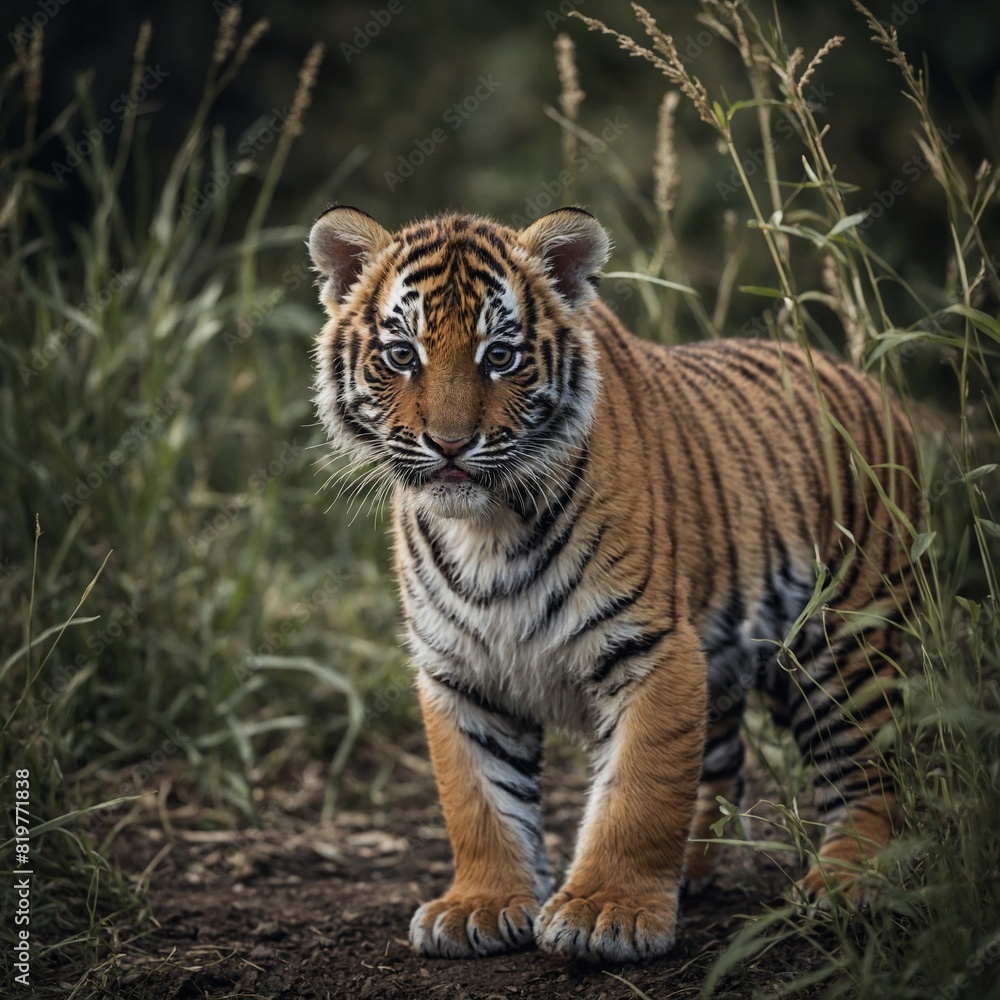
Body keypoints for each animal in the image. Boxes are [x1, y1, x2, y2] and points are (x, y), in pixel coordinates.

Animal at [308, 204, 919, 963]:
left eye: (499, 357)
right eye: (402, 356)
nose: (449, 446)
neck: (486, 528)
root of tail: (864, 378)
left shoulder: (653, 650)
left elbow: (638, 792)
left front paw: (609, 913)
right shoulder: (459, 671)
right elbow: (478, 799)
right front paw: (482, 905)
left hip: (849, 640)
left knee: (868, 768)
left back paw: (848, 882)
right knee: (726, 761)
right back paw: (694, 870)